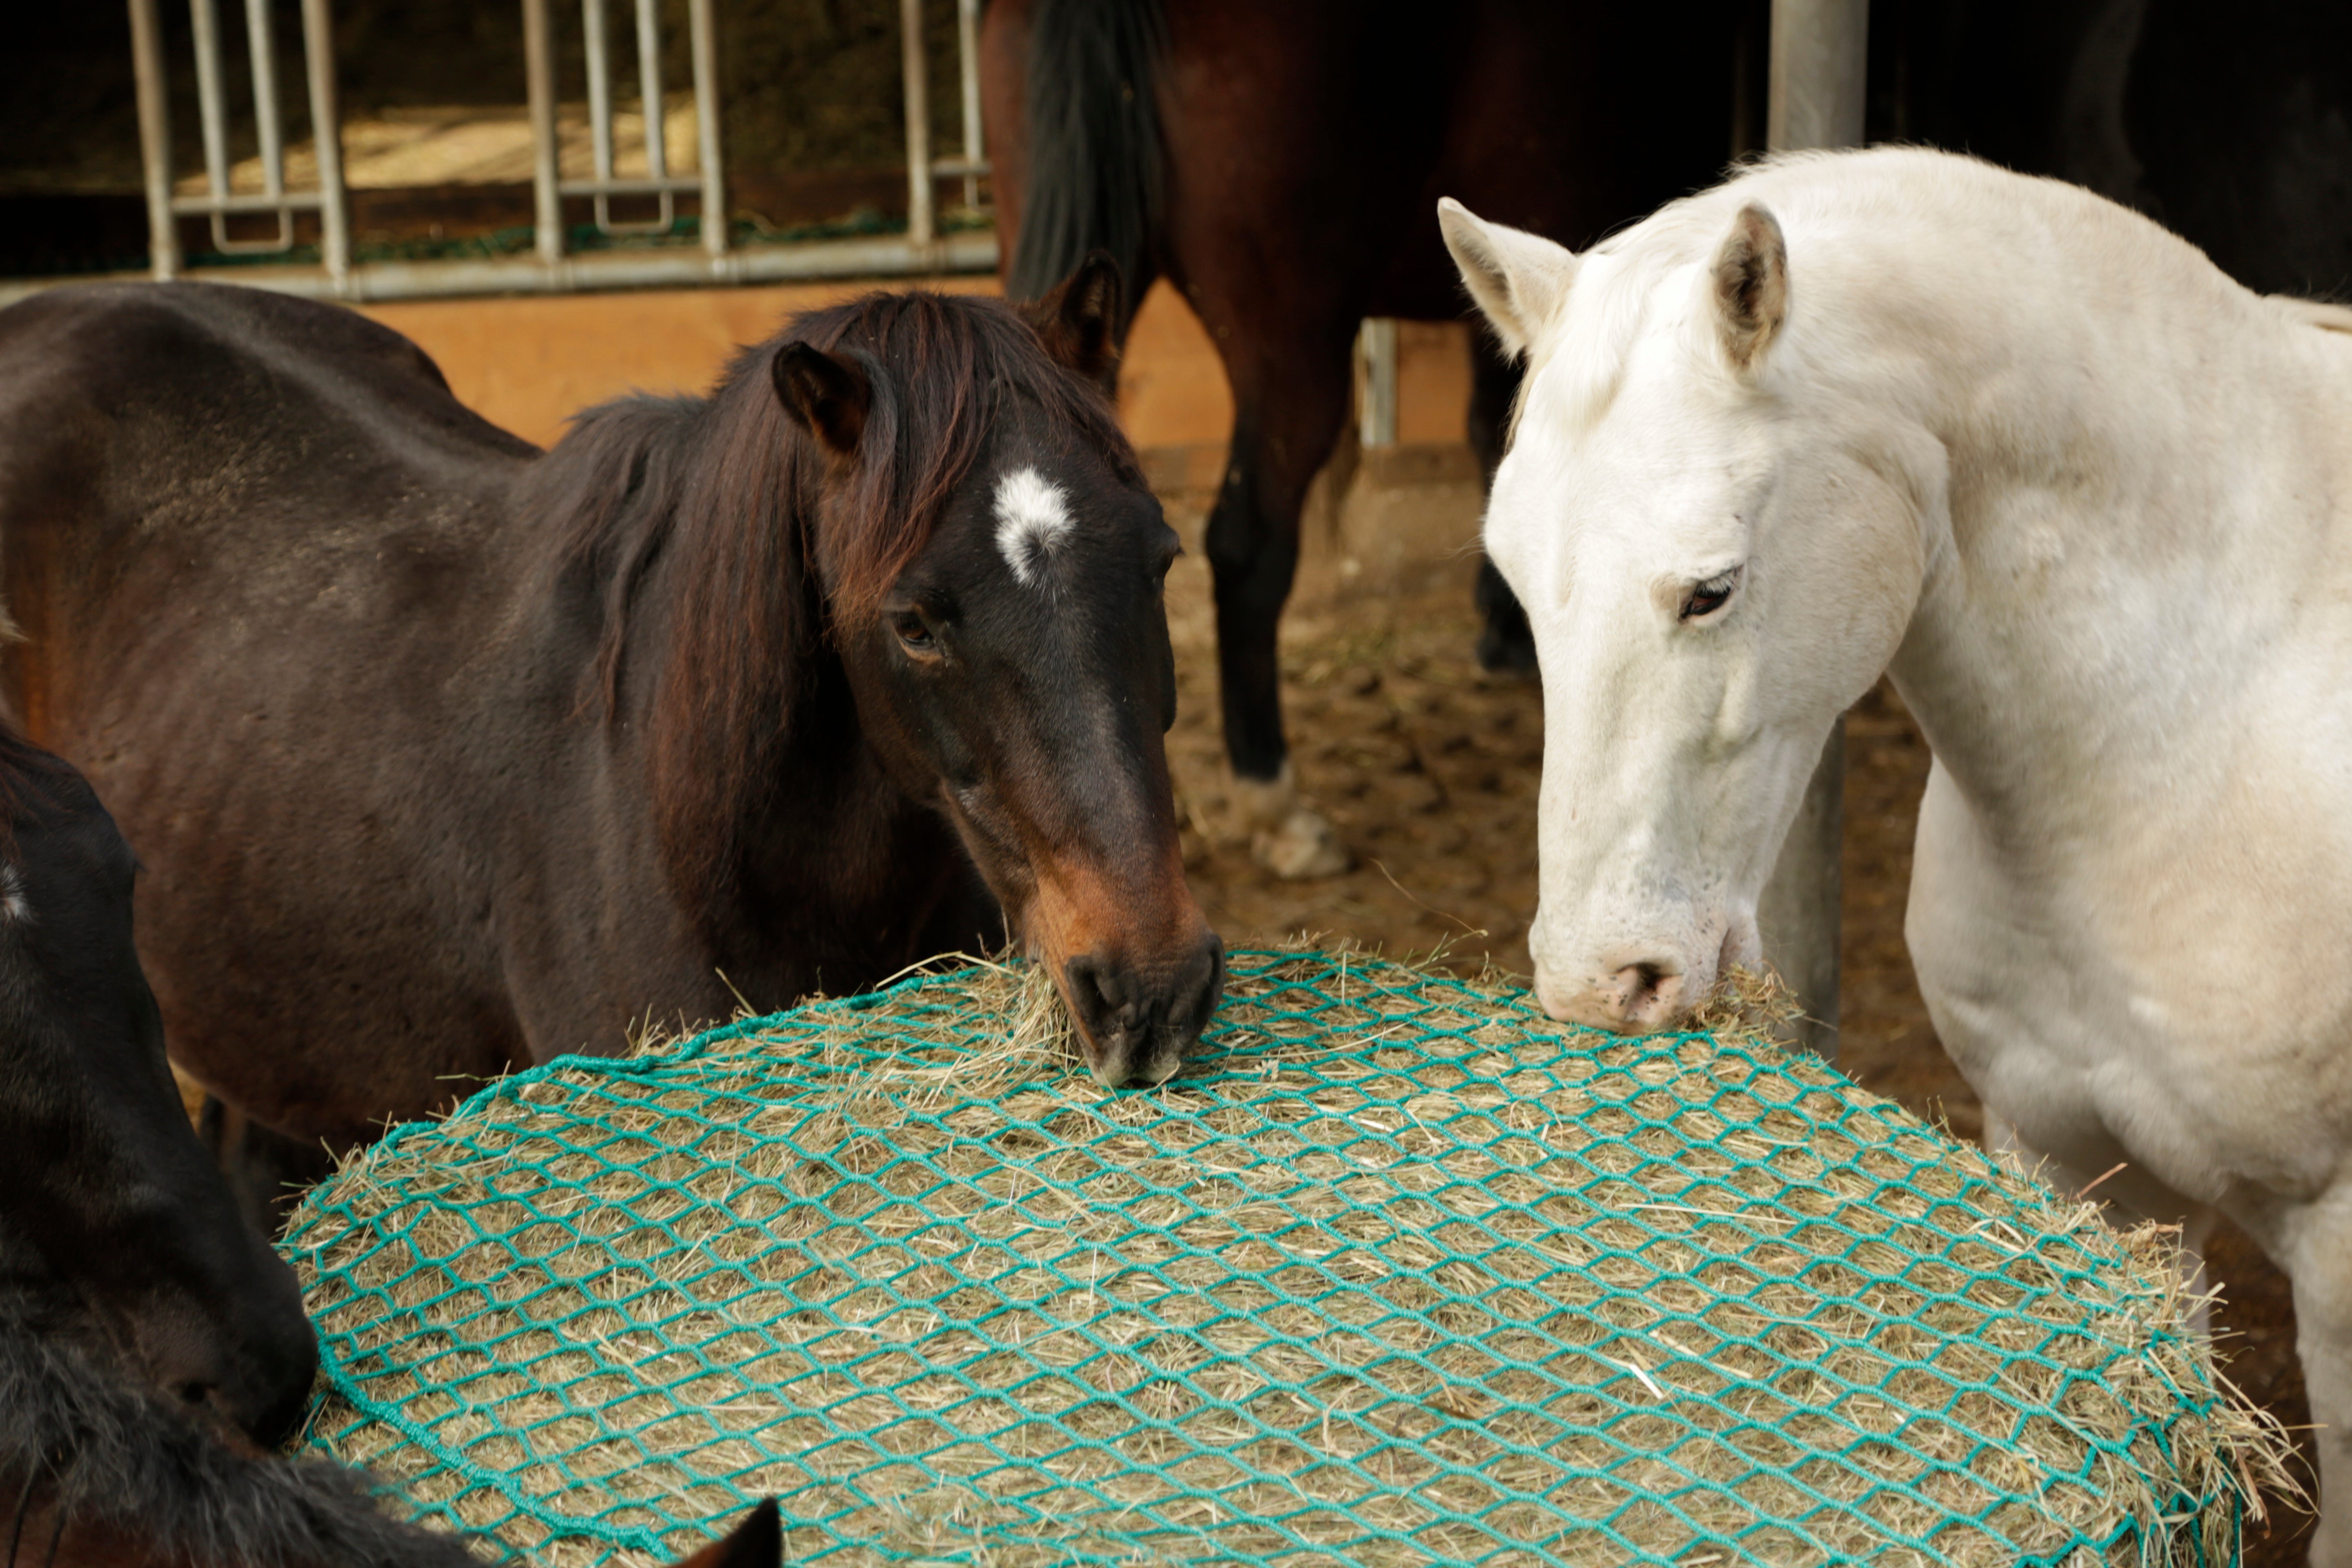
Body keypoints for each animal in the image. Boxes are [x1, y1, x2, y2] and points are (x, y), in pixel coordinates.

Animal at [1439, 144, 2352, 1561]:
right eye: (1517, 584)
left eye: (1712, 588)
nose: (1602, 980)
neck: (2207, 710)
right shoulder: (2083, 1171)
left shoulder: (2340, 1262)